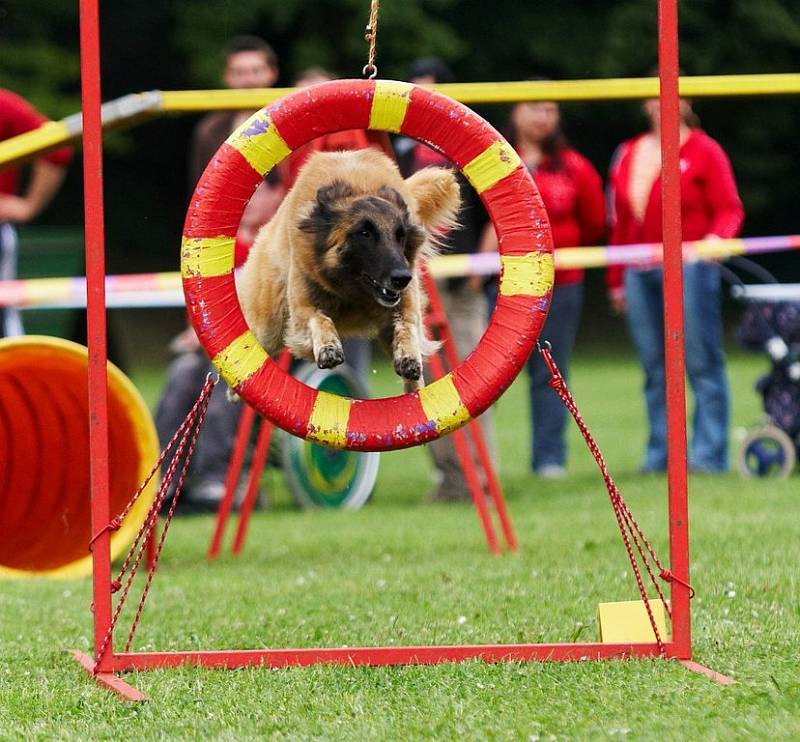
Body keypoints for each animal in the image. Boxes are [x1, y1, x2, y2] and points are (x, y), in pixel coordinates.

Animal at [238, 147, 460, 390]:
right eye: (364, 233)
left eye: (400, 235)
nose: (402, 278)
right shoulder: (304, 305)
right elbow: (319, 319)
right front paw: (328, 347)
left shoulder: (404, 304)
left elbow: (408, 326)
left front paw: (409, 356)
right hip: (269, 324)